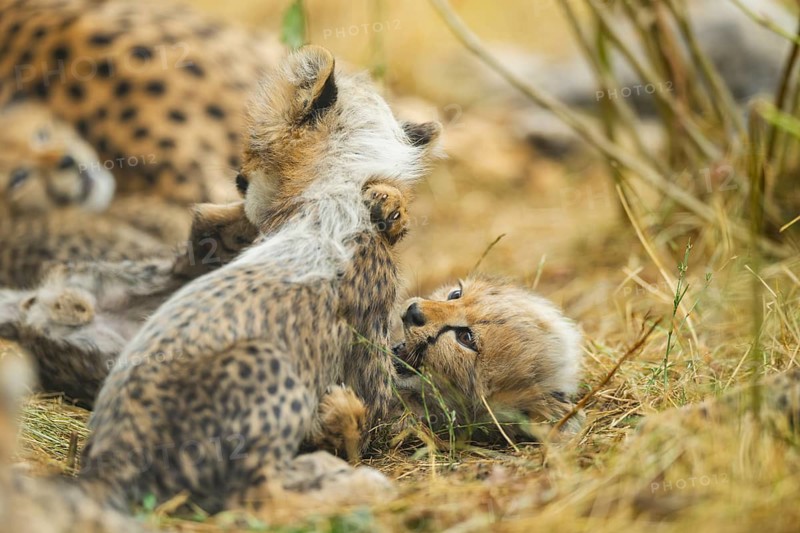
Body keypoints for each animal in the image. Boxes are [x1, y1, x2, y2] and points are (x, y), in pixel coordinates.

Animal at [77, 45, 441, 517]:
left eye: (252, 145)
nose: (239, 177)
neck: (334, 187)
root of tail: (106, 460)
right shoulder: (371, 359)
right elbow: (387, 412)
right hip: (266, 364)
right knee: (257, 497)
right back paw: (356, 474)